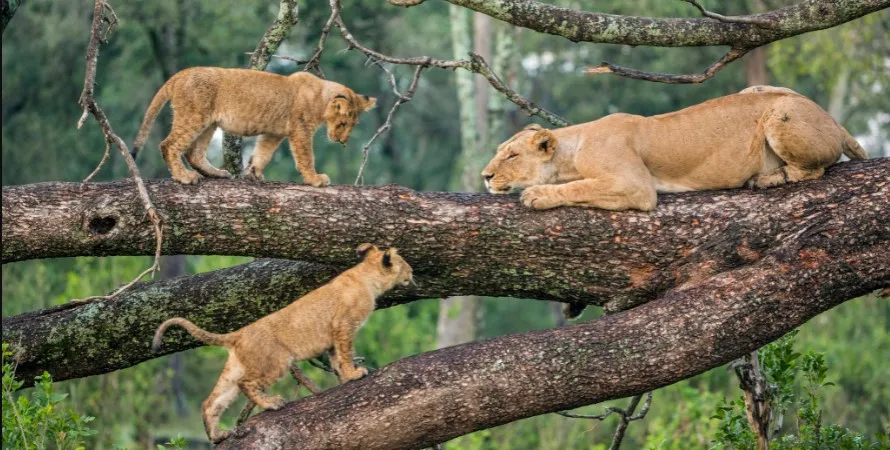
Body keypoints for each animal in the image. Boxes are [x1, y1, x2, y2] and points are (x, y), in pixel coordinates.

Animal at [132, 67, 377, 186]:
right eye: (343, 123)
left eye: (353, 125)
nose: (342, 142)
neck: (320, 97)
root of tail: (182, 73)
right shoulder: (300, 130)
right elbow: (306, 157)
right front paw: (315, 180)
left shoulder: (274, 133)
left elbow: (263, 153)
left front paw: (254, 173)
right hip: (193, 116)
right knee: (169, 145)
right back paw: (184, 177)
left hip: (208, 123)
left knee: (194, 153)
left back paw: (217, 173)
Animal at [151, 244, 413, 443]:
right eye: (405, 263)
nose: (413, 273)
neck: (367, 276)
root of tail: (239, 333)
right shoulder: (344, 326)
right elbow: (346, 354)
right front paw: (355, 374)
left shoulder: (332, 337)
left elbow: (336, 359)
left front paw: (344, 378)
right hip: (276, 362)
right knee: (247, 384)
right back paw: (271, 404)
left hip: (234, 370)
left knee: (211, 402)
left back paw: (218, 435)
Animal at [481, 86, 867, 211]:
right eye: (500, 150)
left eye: (512, 155)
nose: (485, 176)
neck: (572, 149)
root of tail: (833, 120)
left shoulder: (635, 184)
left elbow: (580, 187)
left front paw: (537, 194)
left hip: (780, 113)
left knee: (812, 169)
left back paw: (767, 178)